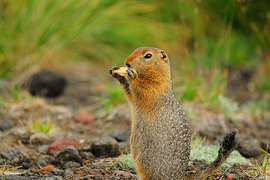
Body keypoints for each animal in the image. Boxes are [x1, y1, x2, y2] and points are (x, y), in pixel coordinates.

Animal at [108, 47, 235, 179]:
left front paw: (131, 76)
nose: (127, 63)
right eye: (135, 50)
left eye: (148, 55)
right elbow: (130, 94)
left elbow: (143, 92)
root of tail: (181, 177)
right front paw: (118, 73)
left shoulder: (155, 88)